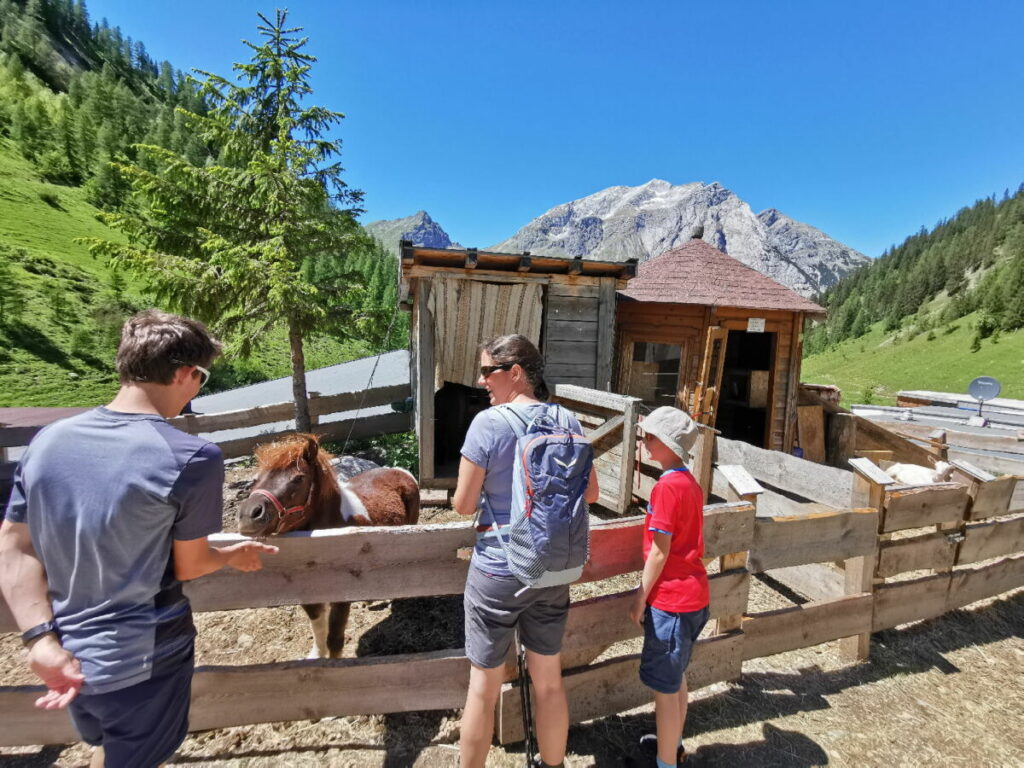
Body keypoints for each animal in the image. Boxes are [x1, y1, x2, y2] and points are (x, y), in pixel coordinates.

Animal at [237, 436, 417, 659]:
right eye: (256, 479)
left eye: (299, 478)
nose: (248, 516)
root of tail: (399, 470)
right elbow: (318, 629)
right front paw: (316, 656)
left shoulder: (341, 598)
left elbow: (334, 639)